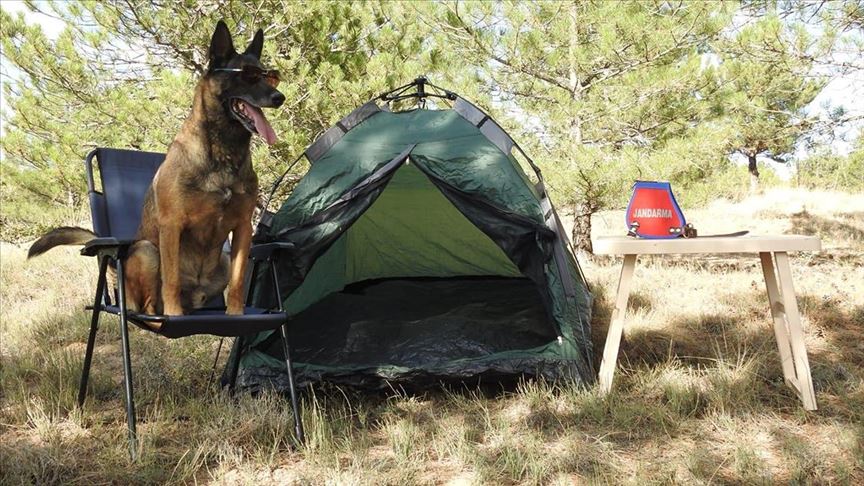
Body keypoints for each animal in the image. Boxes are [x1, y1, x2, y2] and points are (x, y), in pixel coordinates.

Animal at [26, 20, 284, 316]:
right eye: (249, 75)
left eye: (270, 76)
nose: (280, 97)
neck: (223, 153)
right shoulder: (172, 225)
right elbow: (170, 279)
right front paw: (174, 314)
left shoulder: (242, 229)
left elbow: (239, 281)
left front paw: (235, 313)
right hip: (147, 251)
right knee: (147, 305)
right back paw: (158, 314)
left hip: (222, 260)